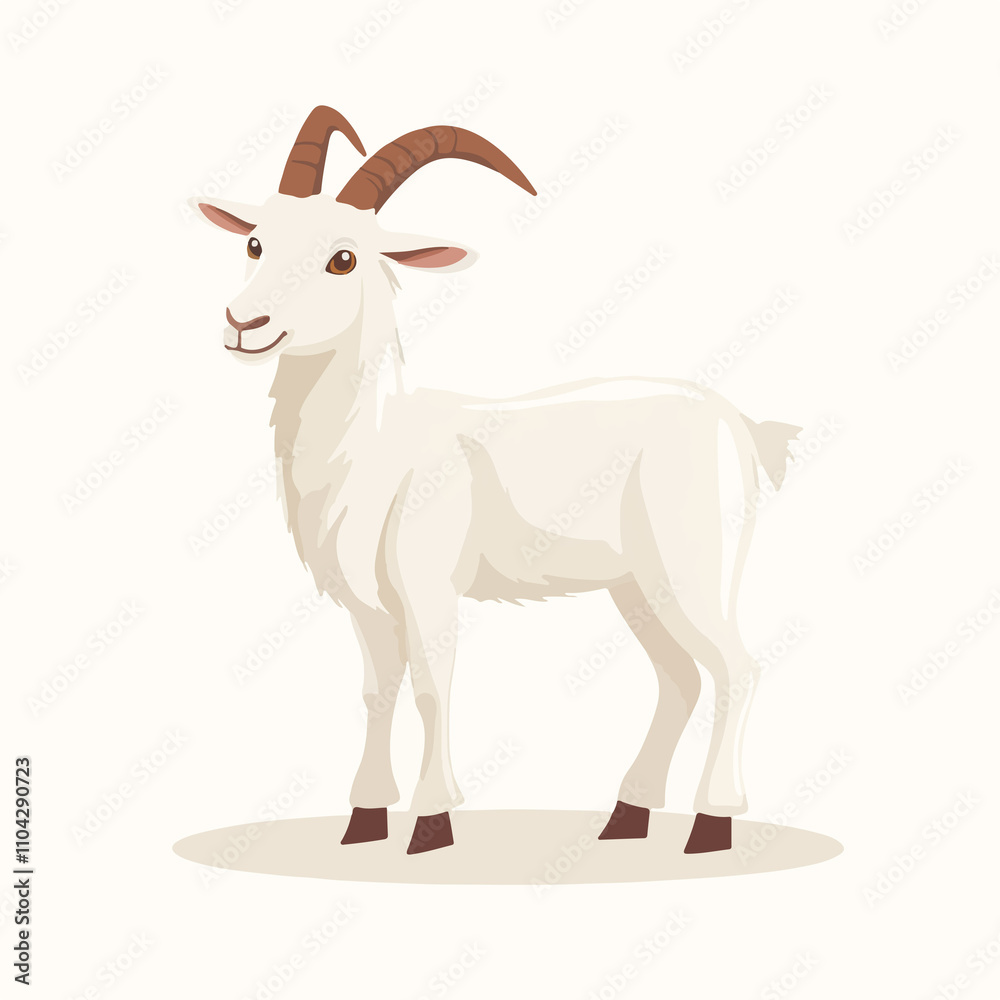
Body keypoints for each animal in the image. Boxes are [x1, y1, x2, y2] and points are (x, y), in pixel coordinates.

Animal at [190, 106, 800, 856]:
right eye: (255, 241)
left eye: (344, 257)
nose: (244, 325)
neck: (376, 443)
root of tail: (740, 426)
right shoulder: (367, 605)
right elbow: (376, 692)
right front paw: (364, 820)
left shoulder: (426, 588)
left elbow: (432, 685)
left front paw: (431, 823)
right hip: (636, 585)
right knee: (680, 678)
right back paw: (627, 817)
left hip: (695, 567)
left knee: (737, 670)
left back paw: (711, 826)